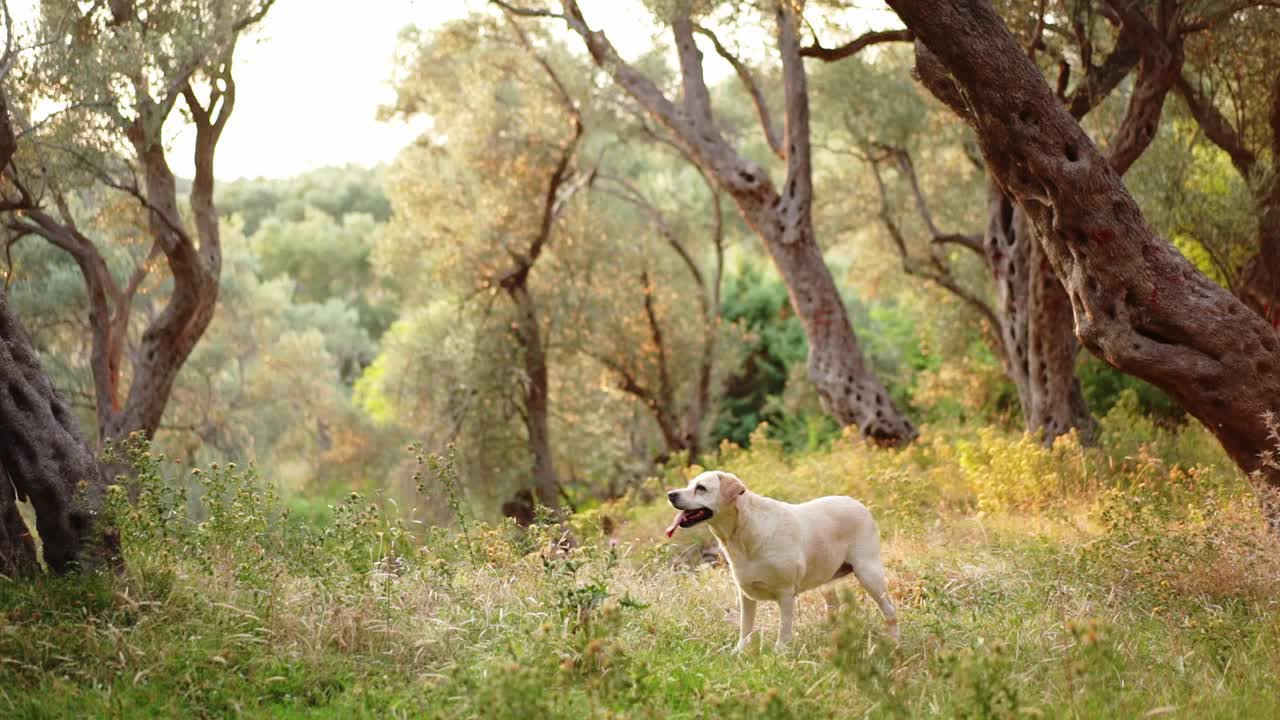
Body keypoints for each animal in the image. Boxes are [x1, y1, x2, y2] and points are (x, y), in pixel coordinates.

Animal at [670, 468, 901, 648]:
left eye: (701, 488)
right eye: (689, 484)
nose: (670, 494)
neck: (743, 533)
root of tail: (858, 503)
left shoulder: (786, 593)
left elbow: (784, 629)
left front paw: (780, 654)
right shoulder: (745, 594)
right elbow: (745, 629)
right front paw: (740, 652)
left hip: (868, 573)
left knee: (890, 609)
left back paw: (894, 641)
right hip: (826, 580)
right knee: (834, 606)